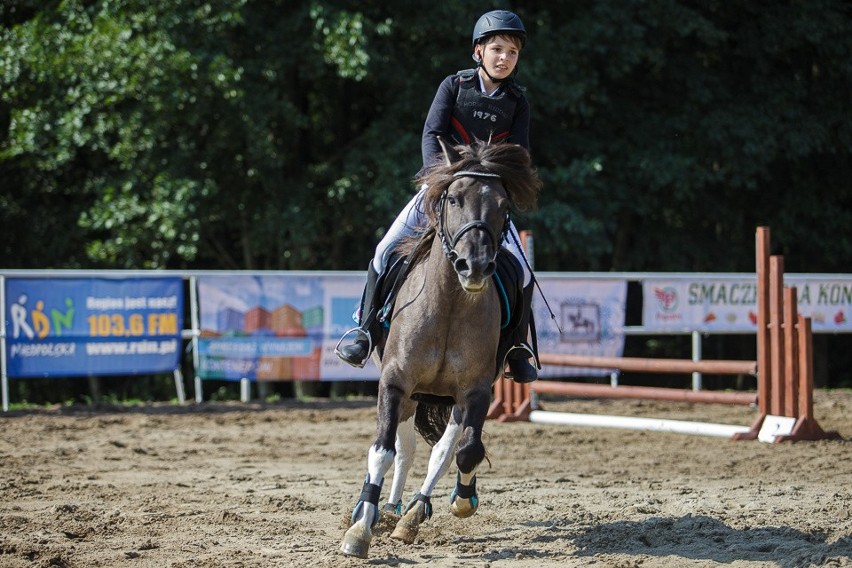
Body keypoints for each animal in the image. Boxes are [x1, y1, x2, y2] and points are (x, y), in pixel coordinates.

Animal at [340, 140, 540, 556]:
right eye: (454, 199)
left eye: (503, 205)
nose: (473, 266)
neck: (449, 304)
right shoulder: (396, 383)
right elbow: (383, 451)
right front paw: (360, 528)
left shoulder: (476, 392)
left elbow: (463, 451)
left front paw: (460, 500)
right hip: (411, 395)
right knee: (405, 449)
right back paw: (387, 509)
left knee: (442, 451)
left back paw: (412, 512)